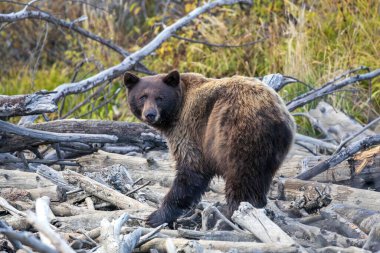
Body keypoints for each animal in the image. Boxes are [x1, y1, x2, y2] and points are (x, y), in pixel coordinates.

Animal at [123, 69, 296, 227]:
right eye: (142, 97)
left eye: (160, 98)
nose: (150, 114)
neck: (177, 110)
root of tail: (274, 114)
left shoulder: (191, 128)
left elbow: (191, 169)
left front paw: (156, 216)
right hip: (272, 150)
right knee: (259, 179)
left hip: (235, 135)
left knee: (240, 178)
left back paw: (232, 216)